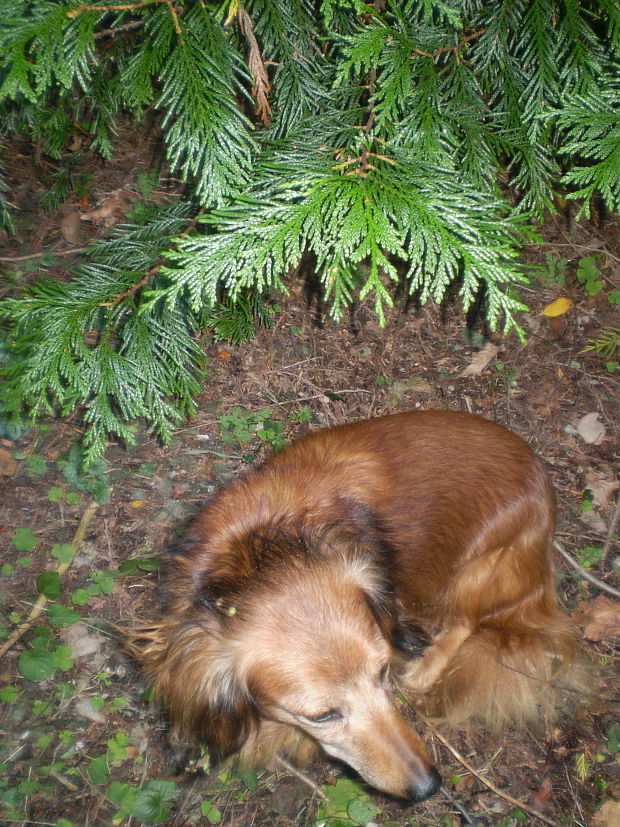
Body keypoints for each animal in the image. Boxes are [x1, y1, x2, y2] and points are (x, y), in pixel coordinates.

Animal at [127, 412, 588, 804]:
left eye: (382, 672)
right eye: (322, 715)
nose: (428, 787)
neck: (262, 551)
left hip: (480, 569)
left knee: (464, 623)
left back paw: (423, 671)